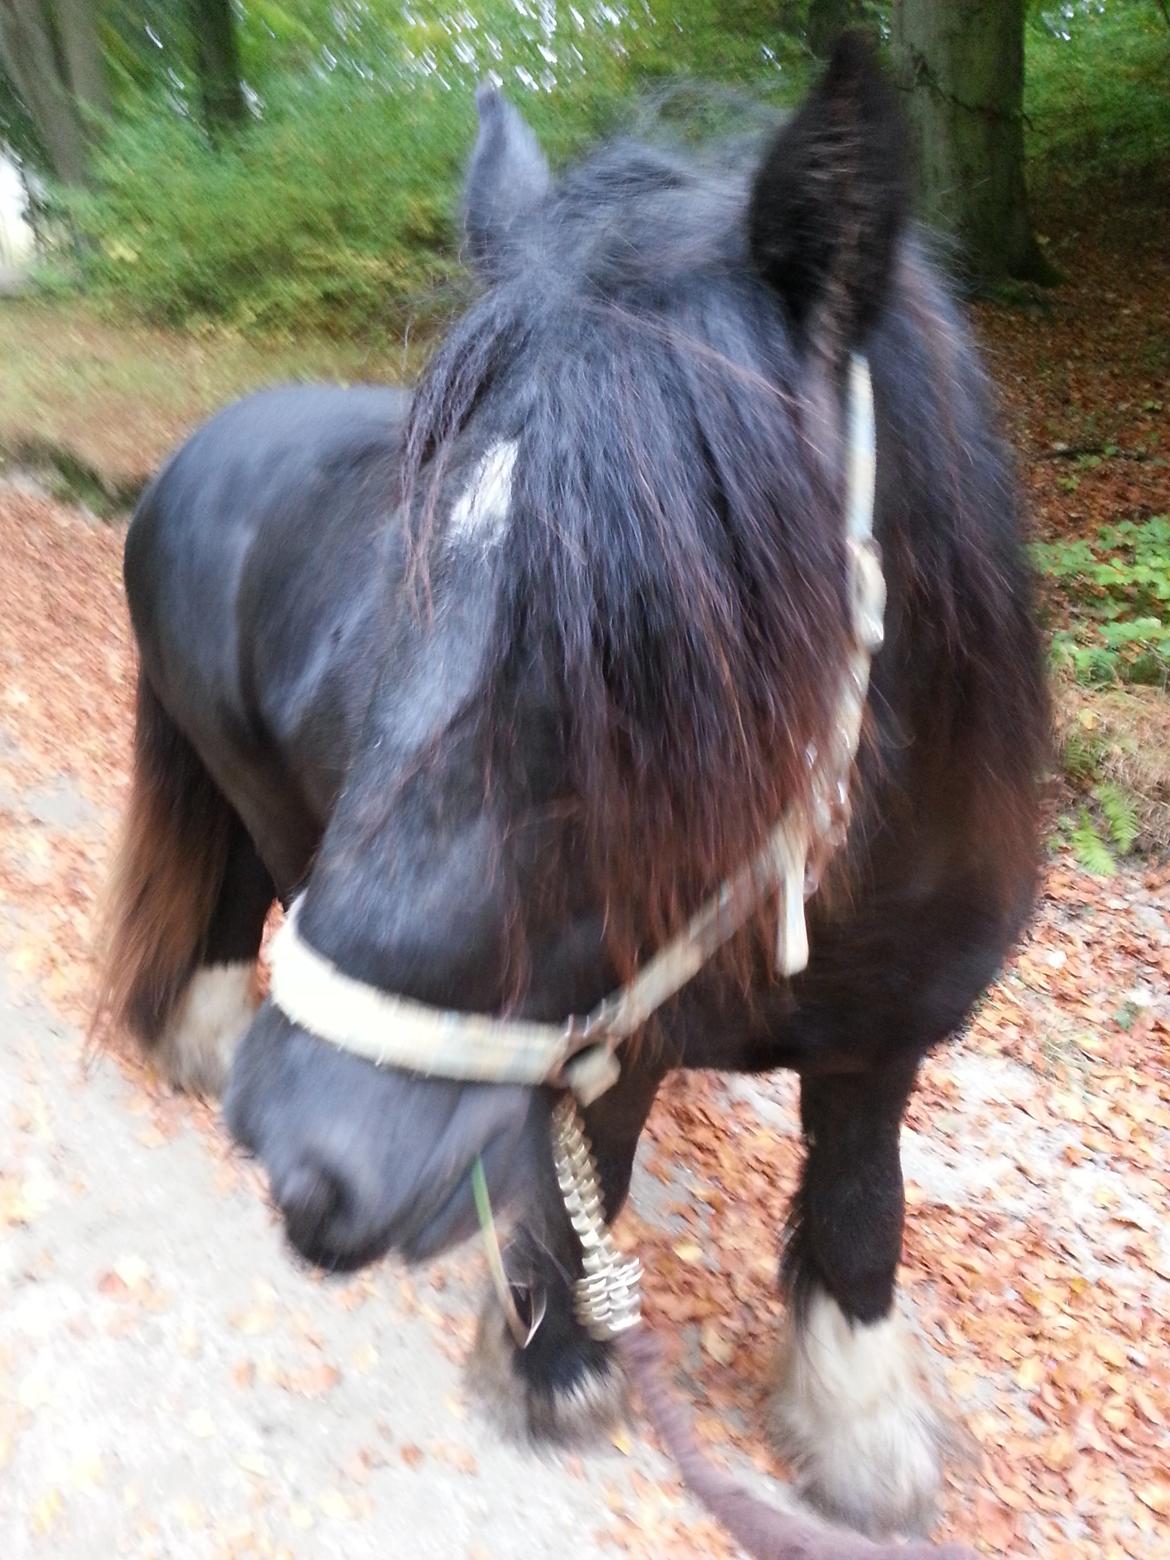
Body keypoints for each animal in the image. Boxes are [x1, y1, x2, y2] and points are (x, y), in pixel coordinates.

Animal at [100, 42, 1048, 1541]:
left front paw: (857, 1441)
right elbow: (579, 1180)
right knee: (248, 889)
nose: (310, 1156)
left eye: (678, 658)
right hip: (253, 793)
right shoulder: (604, 1036)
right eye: (411, 587)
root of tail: (195, 452)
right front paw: (554, 1366)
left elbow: (859, 1214)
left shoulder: (883, 1048)